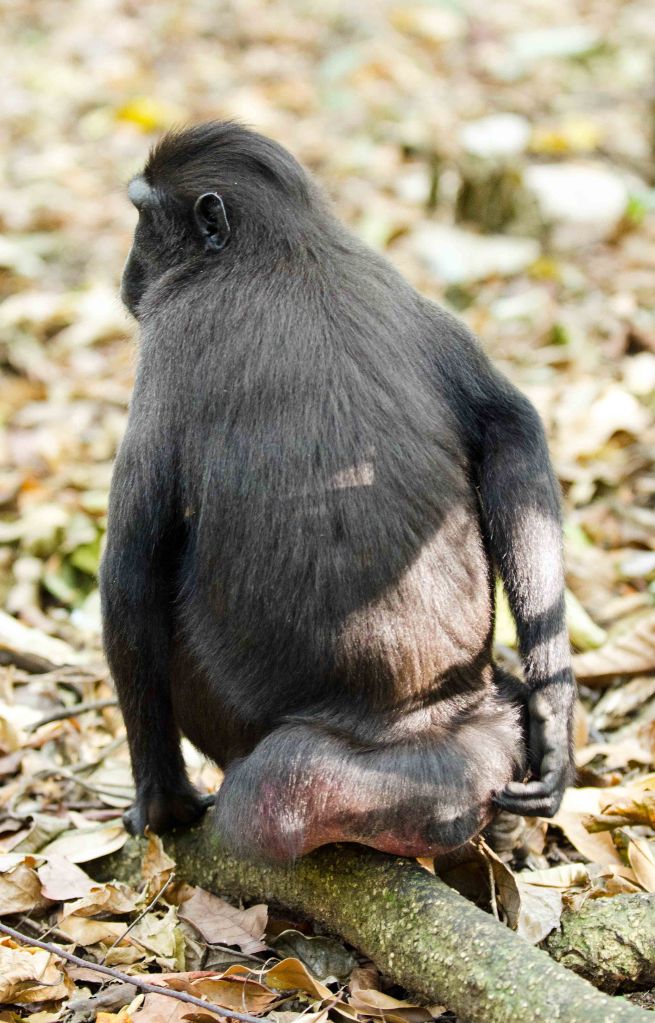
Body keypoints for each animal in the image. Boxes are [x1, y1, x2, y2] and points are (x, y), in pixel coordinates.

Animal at [100, 121, 575, 863]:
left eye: (142, 218)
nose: (126, 275)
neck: (280, 248)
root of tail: (423, 730)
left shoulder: (172, 339)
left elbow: (130, 575)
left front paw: (161, 799)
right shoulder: (402, 290)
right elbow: (511, 427)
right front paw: (556, 713)